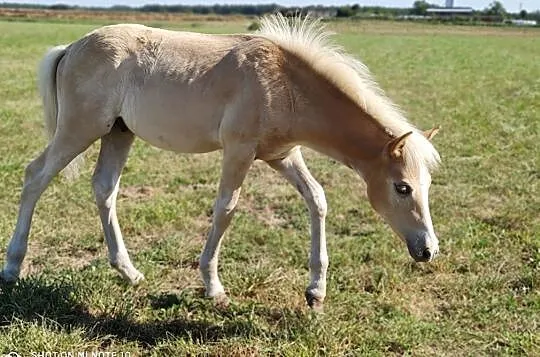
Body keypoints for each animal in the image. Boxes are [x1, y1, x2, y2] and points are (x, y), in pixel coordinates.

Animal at [0, 16, 438, 308]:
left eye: (427, 186)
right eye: (402, 187)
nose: (428, 250)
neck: (284, 83)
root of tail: (70, 48)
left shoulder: (282, 155)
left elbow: (317, 198)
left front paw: (316, 290)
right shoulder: (239, 150)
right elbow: (226, 209)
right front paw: (213, 287)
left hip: (118, 133)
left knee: (104, 188)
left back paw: (129, 272)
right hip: (80, 129)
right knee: (35, 176)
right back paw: (12, 267)